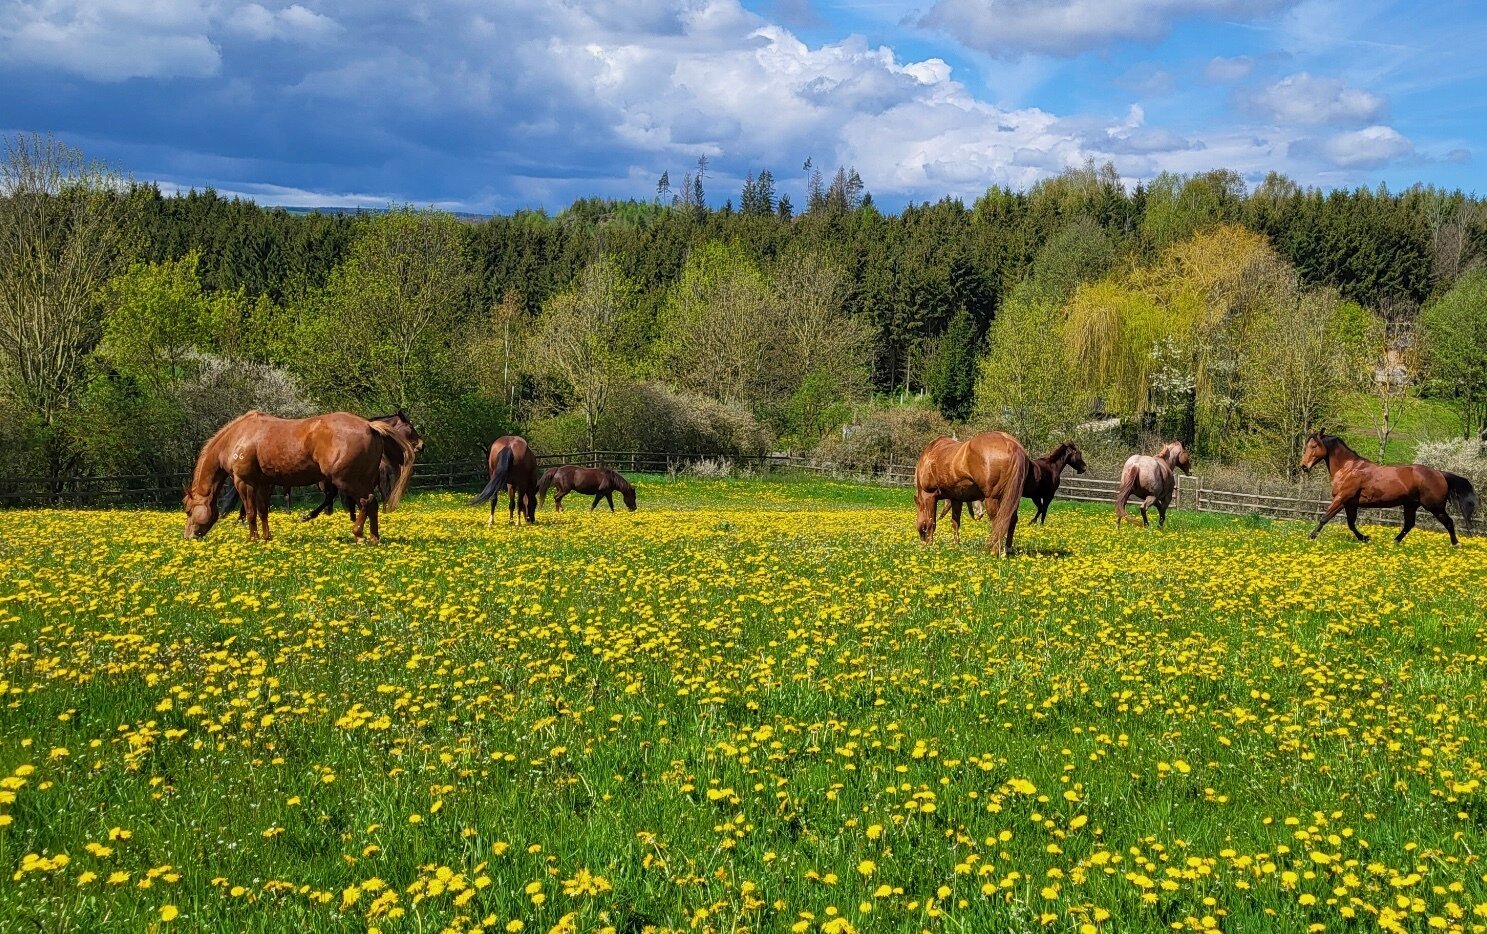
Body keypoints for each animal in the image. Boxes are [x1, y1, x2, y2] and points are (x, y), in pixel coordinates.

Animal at [187, 413, 419, 544]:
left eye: (188, 511)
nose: (188, 536)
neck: (240, 435)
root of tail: (370, 426)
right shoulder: (265, 483)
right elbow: (262, 512)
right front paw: (266, 538)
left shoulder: (245, 483)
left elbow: (251, 513)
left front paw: (252, 540)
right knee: (373, 505)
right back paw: (373, 537)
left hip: (348, 481)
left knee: (367, 502)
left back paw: (359, 534)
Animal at [933, 440, 1088, 526]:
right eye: (1079, 453)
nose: (1084, 468)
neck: (1051, 467)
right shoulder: (1047, 495)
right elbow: (1043, 510)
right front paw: (1038, 524)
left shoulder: (1036, 496)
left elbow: (1041, 509)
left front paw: (1033, 523)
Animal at [1302, 431, 1475, 547]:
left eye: (1314, 446)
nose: (1303, 466)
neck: (1348, 468)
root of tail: (1440, 473)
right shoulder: (1350, 503)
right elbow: (1351, 524)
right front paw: (1365, 538)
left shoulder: (1341, 498)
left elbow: (1325, 518)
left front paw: (1310, 537)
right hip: (1411, 505)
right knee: (1409, 524)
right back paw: (1395, 542)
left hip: (1435, 506)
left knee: (1449, 522)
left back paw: (1456, 544)